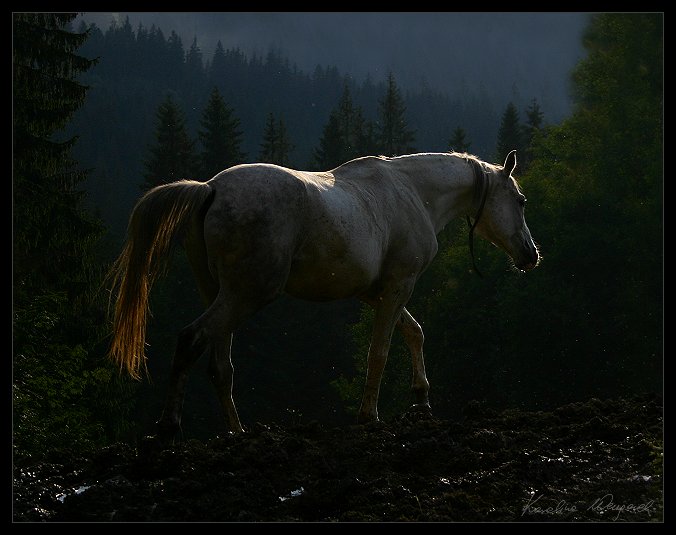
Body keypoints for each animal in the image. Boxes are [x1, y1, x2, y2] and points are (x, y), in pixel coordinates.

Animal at [107, 149, 540, 438]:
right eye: (520, 201)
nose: (530, 255)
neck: (412, 192)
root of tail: (210, 189)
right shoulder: (398, 285)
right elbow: (380, 352)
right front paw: (370, 417)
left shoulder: (376, 292)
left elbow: (413, 332)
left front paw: (422, 399)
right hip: (246, 295)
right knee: (191, 339)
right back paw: (170, 425)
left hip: (219, 293)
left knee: (220, 366)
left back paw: (237, 432)